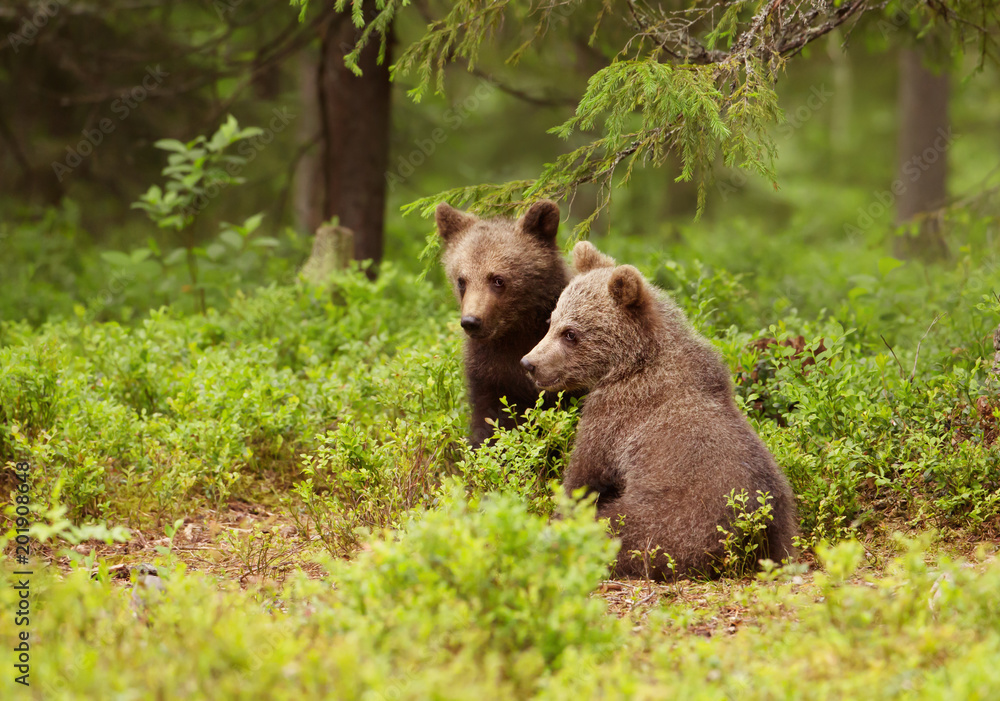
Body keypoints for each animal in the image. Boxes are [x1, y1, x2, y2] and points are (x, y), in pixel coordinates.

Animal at [435, 200, 577, 448]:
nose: (471, 321)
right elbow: (491, 421)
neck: (516, 331)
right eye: (462, 280)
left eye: (498, 279)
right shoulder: (489, 371)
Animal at [520, 241, 797, 579]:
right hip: (781, 516)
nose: (530, 363)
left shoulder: (616, 417)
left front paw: (558, 516)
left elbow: (584, 475)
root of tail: (750, 530)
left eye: (571, 333)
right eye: (551, 322)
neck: (633, 361)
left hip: (670, 521)